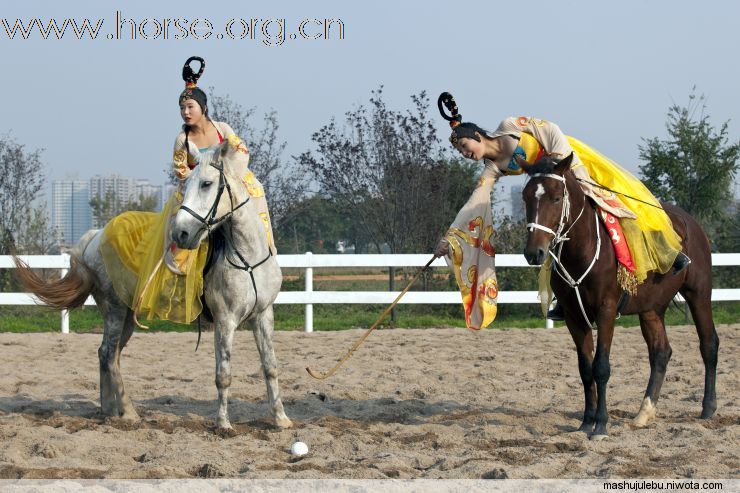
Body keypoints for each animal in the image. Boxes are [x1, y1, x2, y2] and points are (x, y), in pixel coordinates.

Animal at [13, 138, 292, 430]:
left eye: (206, 183)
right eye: (186, 185)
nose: (181, 233)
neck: (247, 258)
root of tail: (94, 237)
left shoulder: (263, 315)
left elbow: (270, 366)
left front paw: (280, 419)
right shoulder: (225, 320)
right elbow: (223, 374)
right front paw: (224, 424)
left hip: (125, 315)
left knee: (108, 354)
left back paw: (109, 411)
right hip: (115, 309)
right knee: (109, 354)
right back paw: (128, 413)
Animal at [520, 153, 716, 438]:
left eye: (556, 198)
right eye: (525, 197)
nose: (534, 252)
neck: (584, 249)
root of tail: (691, 224)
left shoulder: (606, 311)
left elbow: (601, 367)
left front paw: (601, 424)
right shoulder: (574, 317)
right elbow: (585, 369)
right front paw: (586, 422)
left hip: (699, 295)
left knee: (709, 344)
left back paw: (708, 407)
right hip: (651, 309)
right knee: (660, 353)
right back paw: (644, 413)